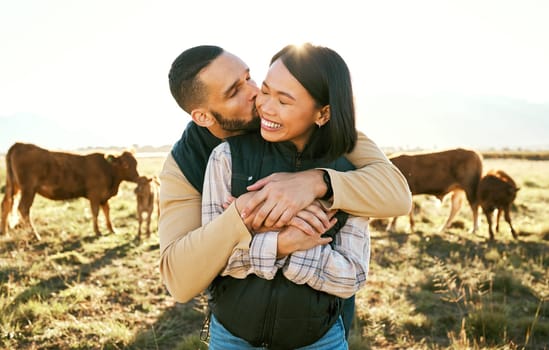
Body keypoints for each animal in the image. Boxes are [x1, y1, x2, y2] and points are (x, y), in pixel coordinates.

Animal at [0, 143, 140, 241]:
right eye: (125, 165)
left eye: (136, 163)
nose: (137, 177)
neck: (108, 170)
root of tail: (20, 144)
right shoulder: (95, 195)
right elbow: (95, 212)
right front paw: (97, 231)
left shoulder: (104, 196)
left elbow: (107, 211)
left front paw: (112, 229)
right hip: (28, 189)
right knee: (23, 208)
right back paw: (35, 236)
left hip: (13, 186)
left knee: (6, 204)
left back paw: (5, 233)